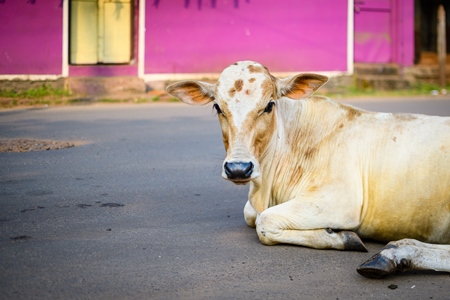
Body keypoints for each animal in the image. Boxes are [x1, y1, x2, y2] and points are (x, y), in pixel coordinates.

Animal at [166, 61, 450, 278]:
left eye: (269, 105)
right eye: (217, 107)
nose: (238, 168)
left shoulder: (340, 200)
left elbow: (264, 221)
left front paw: (342, 237)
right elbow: (251, 214)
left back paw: (394, 254)